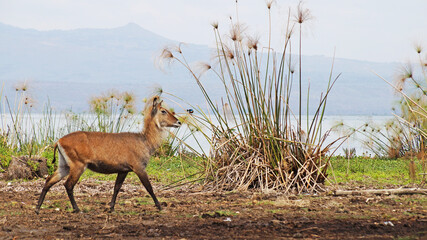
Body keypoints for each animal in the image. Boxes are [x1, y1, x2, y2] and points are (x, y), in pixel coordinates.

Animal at [34, 94, 180, 213]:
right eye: (163, 111)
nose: (178, 122)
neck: (145, 140)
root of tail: (59, 141)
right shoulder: (139, 168)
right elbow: (149, 187)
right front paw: (160, 207)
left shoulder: (123, 170)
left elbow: (116, 188)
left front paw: (111, 207)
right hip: (78, 165)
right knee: (68, 185)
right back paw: (77, 209)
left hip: (64, 165)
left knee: (49, 180)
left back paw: (37, 208)